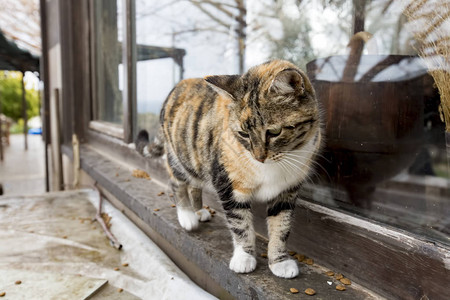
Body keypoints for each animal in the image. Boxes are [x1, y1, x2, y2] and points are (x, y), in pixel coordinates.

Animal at [135, 59, 322, 278]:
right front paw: (244, 258)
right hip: (180, 156)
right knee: (177, 182)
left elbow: (281, 226)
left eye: (275, 131)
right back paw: (188, 216)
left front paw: (280, 262)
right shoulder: (228, 183)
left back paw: (199, 211)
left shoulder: (287, 191)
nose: (259, 157)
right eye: (243, 133)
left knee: (194, 184)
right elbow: (239, 223)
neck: (273, 166)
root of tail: (176, 87)